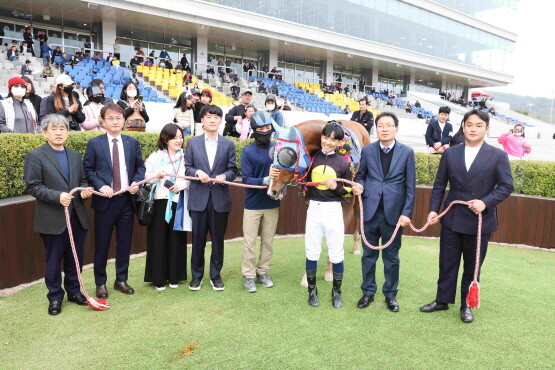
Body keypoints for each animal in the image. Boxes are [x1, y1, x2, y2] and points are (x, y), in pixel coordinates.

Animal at [268, 120, 372, 284]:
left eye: (287, 156)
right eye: (272, 152)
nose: (272, 190)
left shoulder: (346, 204)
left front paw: (329, 271)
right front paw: (306, 276)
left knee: (357, 214)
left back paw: (356, 246)